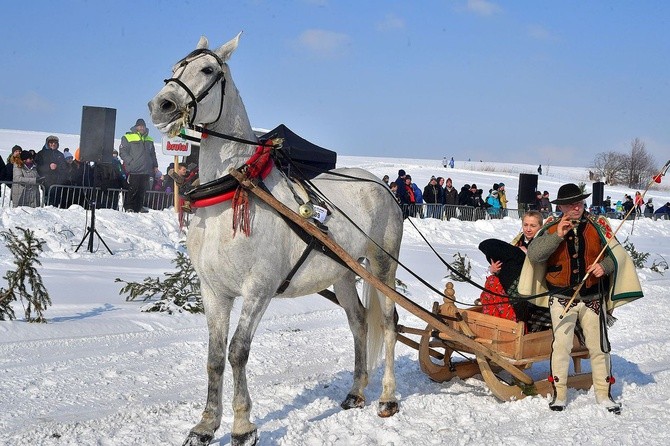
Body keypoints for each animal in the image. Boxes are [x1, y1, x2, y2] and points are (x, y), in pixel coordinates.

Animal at [148, 34, 404, 446]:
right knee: (360, 323)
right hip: (343, 273)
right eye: (174, 68)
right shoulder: (213, 290)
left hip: (383, 267)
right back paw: (356, 391)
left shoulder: (259, 288)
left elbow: (238, 351)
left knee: (390, 321)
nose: (162, 104)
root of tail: (382, 185)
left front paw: (242, 426)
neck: (232, 190)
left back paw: (388, 397)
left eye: (208, 69)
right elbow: (214, 357)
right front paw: (205, 425)